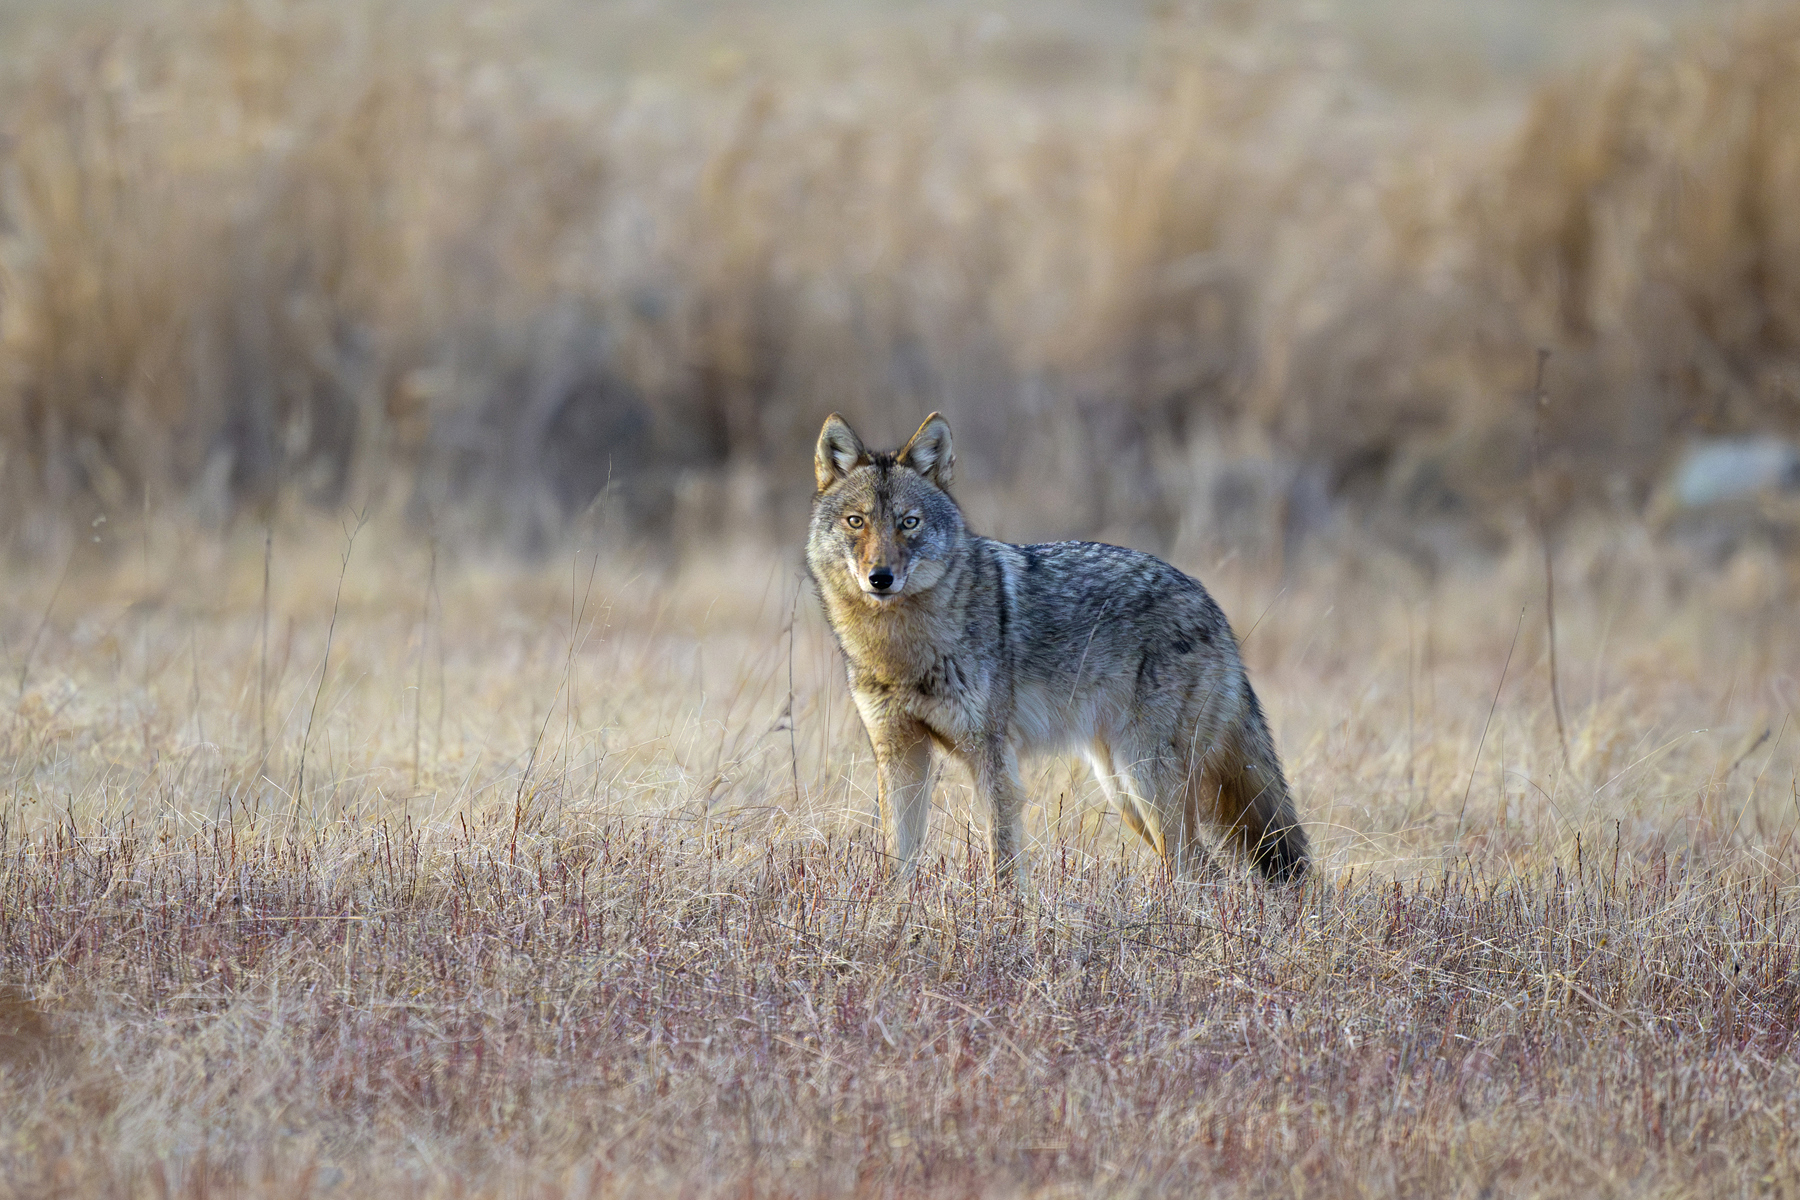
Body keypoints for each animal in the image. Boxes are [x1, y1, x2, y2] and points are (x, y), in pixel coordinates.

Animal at [806, 411, 1308, 889]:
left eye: (908, 522)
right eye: (857, 521)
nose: (880, 578)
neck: (899, 649)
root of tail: (1211, 605)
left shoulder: (992, 757)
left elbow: (1004, 864)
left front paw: (1004, 917)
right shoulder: (899, 753)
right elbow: (898, 863)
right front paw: (895, 909)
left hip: (1146, 781)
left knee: (1196, 870)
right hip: (1124, 791)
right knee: (1207, 871)